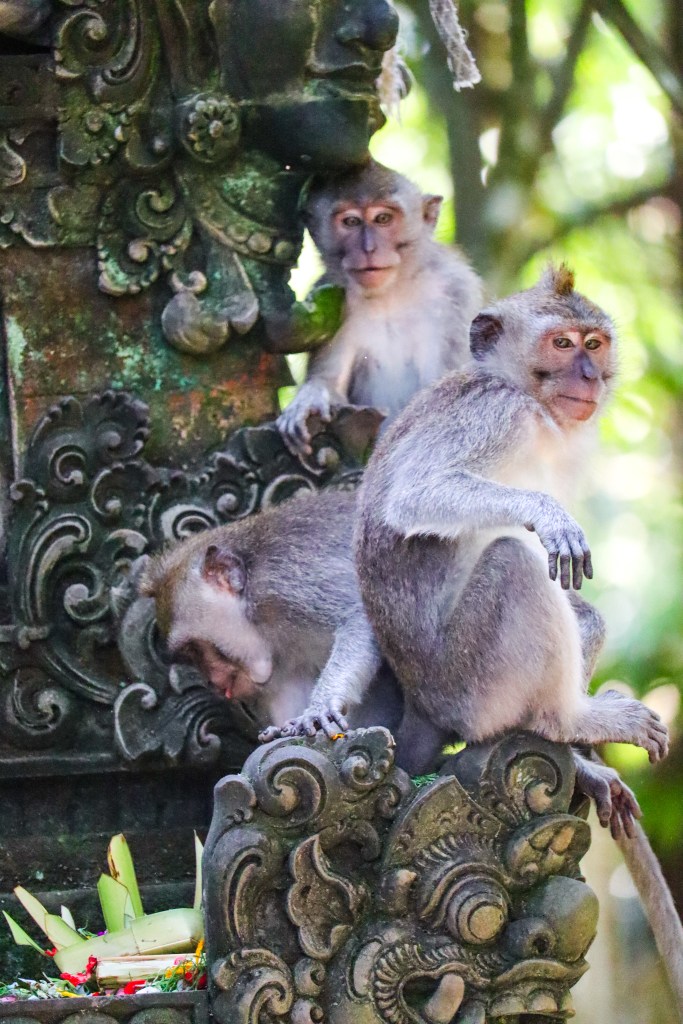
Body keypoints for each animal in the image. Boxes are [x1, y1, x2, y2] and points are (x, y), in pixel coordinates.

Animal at [277, 159, 483, 455]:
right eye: (351, 221)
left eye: (383, 219)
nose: (369, 249)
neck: (390, 295)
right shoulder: (332, 300)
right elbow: (332, 385)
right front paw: (312, 398)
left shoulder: (456, 294)